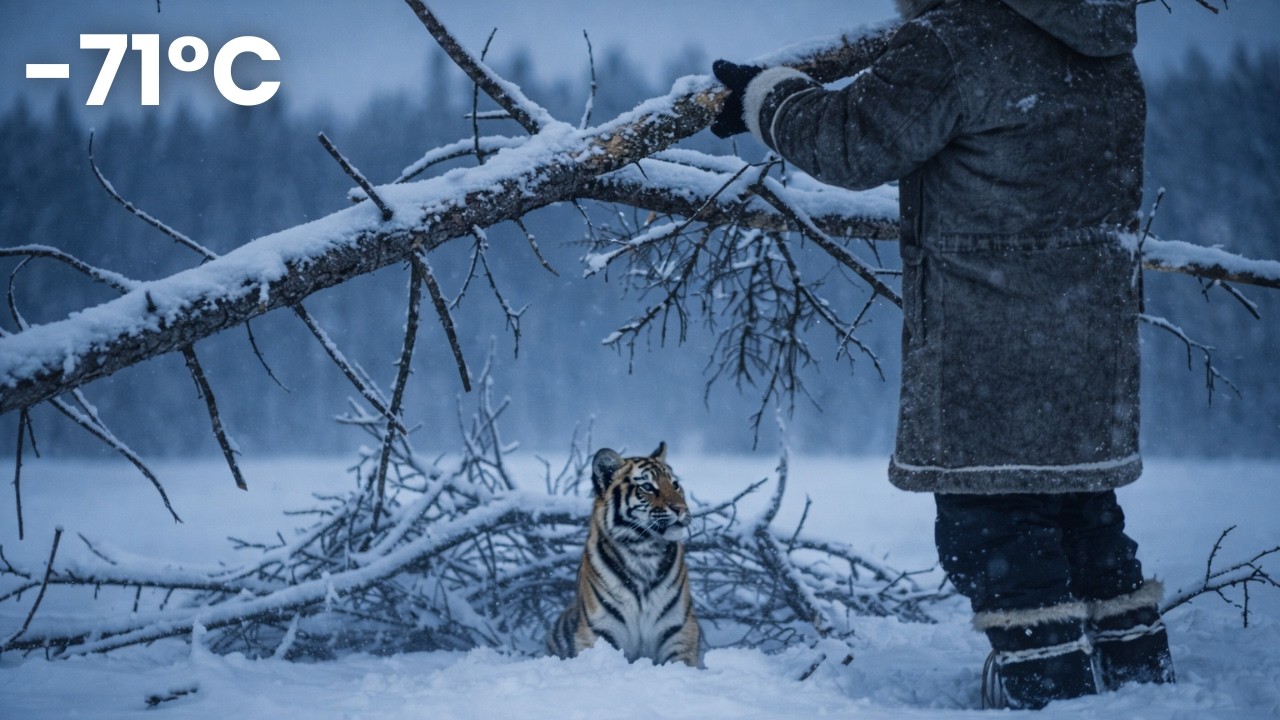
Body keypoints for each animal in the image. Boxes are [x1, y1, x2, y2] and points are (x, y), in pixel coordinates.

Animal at [546, 442, 702, 667]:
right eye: (648, 487)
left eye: (675, 484)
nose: (681, 509)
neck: (643, 551)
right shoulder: (601, 629)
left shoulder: (679, 629)